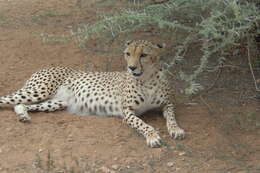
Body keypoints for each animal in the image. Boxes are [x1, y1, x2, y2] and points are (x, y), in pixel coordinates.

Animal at [1, 39, 186, 147]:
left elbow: (171, 116)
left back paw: (23, 116)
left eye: (144, 55)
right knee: (7, 99)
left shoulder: (167, 103)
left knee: (20, 104)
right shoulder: (127, 111)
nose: (131, 67)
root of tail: (45, 67)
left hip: (57, 102)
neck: (147, 78)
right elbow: (142, 124)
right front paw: (153, 136)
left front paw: (176, 129)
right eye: (128, 54)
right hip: (38, 90)